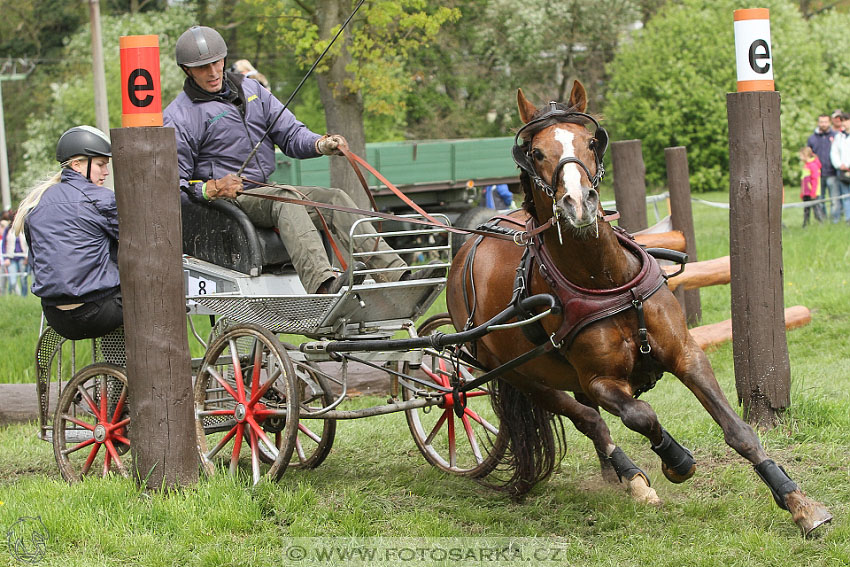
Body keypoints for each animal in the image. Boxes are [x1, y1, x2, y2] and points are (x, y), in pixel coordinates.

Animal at [448, 80, 832, 536]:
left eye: (590, 142)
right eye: (537, 152)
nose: (578, 203)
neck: (605, 281)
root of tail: (468, 246)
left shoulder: (686, 352)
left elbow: (738, 430)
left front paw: (798, 502)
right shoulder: (601, 379)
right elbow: (641, 415)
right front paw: (677, 461)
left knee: (593, 419)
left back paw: (615, 475)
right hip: (523, 377)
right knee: (589, 419)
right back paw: (632, 476)